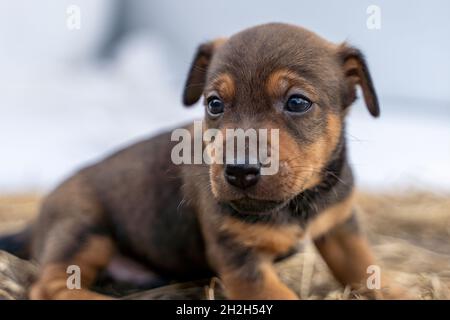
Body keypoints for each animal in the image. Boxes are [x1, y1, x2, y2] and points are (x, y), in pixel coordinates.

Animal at [1, 23, 390, 300]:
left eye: (297, 102)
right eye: (214, 104)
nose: (240, 171)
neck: (299, 202)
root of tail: (36, 222)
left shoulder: (341, 226)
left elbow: (366, 269)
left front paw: (396, 290)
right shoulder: (240, 259)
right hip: (83, 229)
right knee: (49, 286)